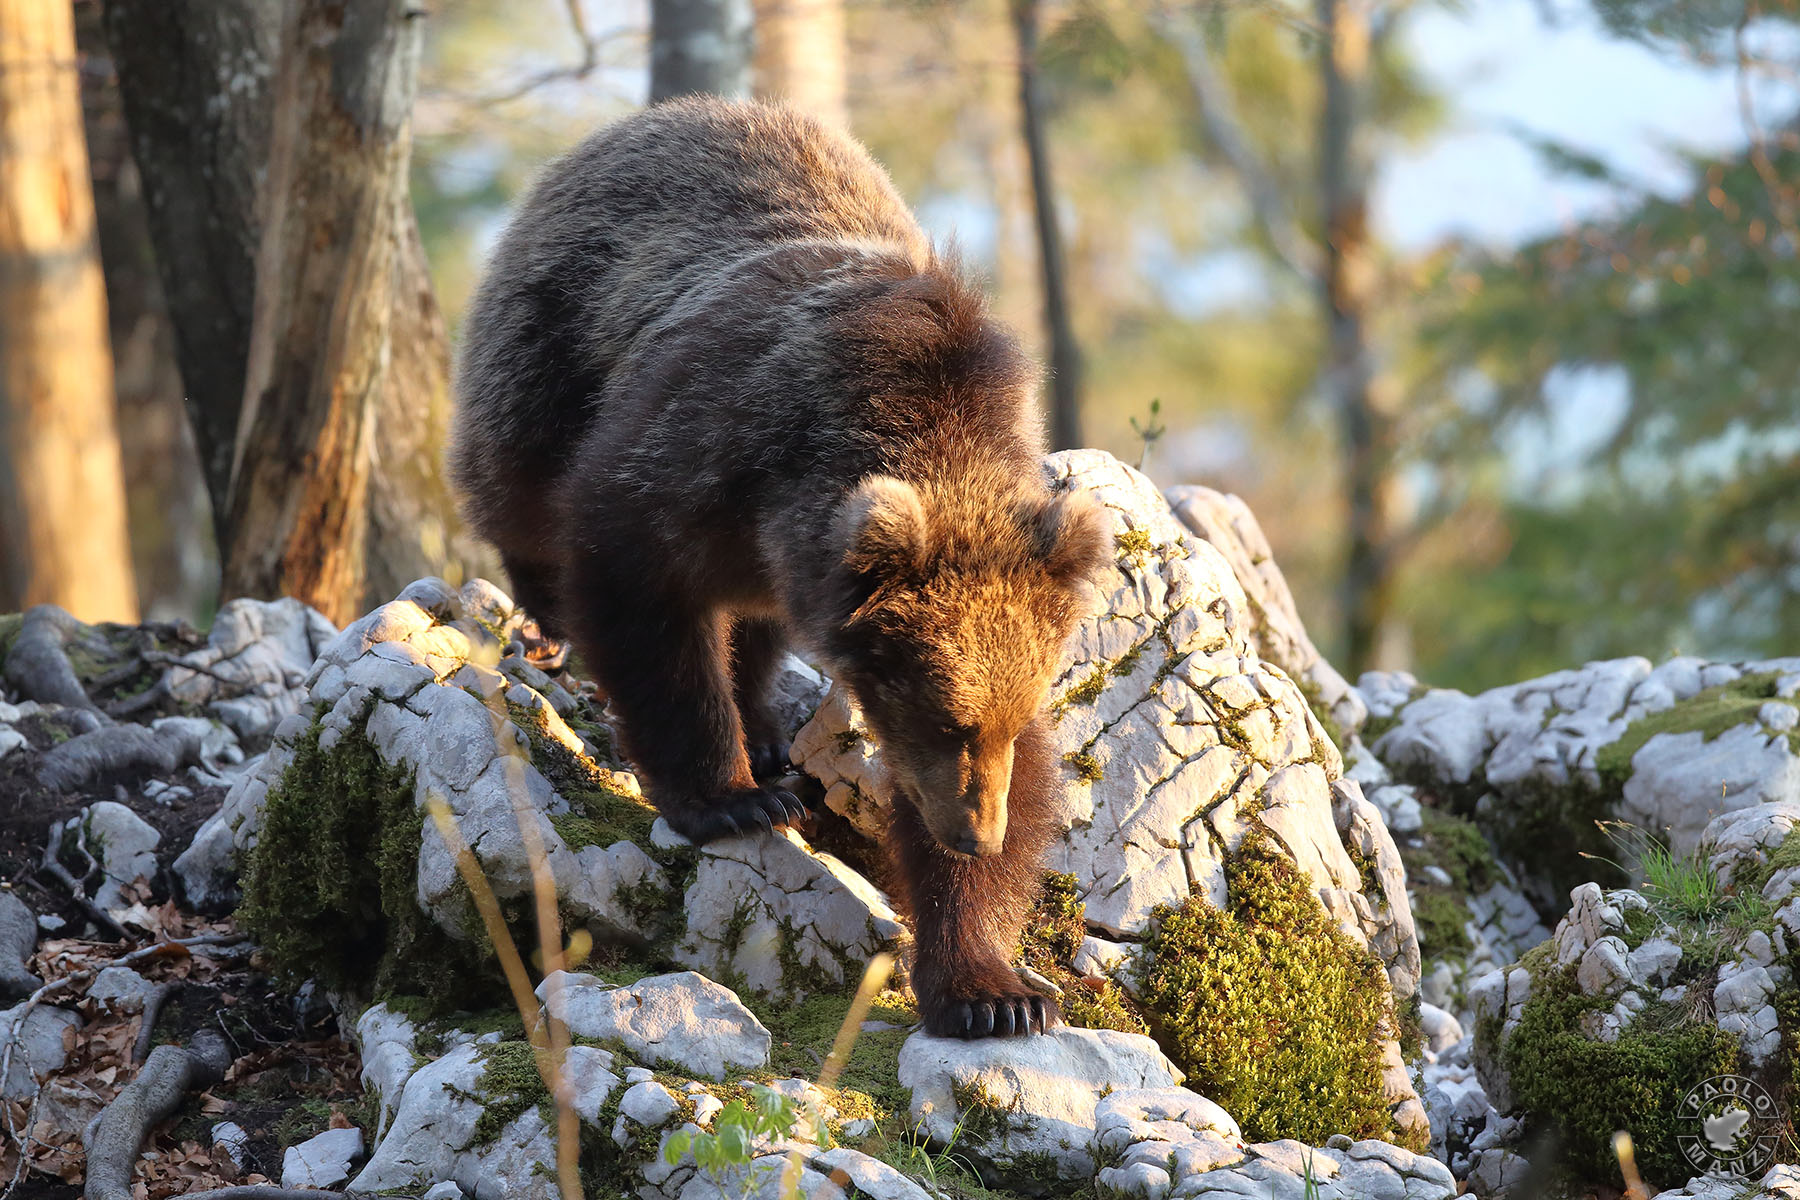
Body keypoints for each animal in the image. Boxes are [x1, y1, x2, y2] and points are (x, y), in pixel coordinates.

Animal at [450, 97, 1107, 1038]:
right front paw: (733, 798)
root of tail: (652, 117)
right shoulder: (703, 445)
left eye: (1000, 725)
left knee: (753, 625)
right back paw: (551, 624)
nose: (974, 830)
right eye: (947, 719)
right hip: (553, 339)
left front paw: (993, 990)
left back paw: (763, 727)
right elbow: (639, 596)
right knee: (516, 485)